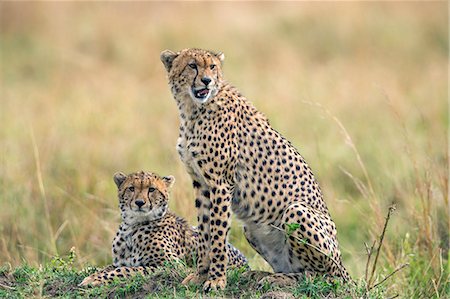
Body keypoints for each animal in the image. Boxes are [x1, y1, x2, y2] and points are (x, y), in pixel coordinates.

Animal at [81, 171, 250, 286]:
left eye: (151, 189)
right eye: (131, 188)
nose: (140, 203)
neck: (132, 226)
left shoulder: (171, 265)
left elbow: (128, 270)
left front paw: (93, 280)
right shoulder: (120, 261)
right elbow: (108, 267)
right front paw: (91, 275)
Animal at [161, 48, 352, 292]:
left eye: (212, 67)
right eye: (192, 65)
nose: (206, 80)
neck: (193, 109)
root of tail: (344, 268)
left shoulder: (221, 184)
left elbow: (217, 235)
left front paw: (217, 280)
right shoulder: (201, 183)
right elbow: (205, 231)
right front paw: (201, 274)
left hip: (297, 212)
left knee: (321, 277)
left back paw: (276, 279)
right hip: (251, 230)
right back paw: (265, 275)